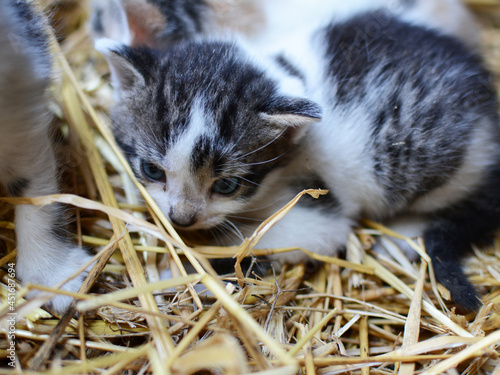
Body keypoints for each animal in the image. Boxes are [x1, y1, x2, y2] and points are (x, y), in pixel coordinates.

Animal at [95, 5, 498, 312]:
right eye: (151, 169)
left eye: (227, 186)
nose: (181, 218)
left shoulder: (318, 212)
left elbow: (250, 240)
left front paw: (179, 273)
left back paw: (402, 234)